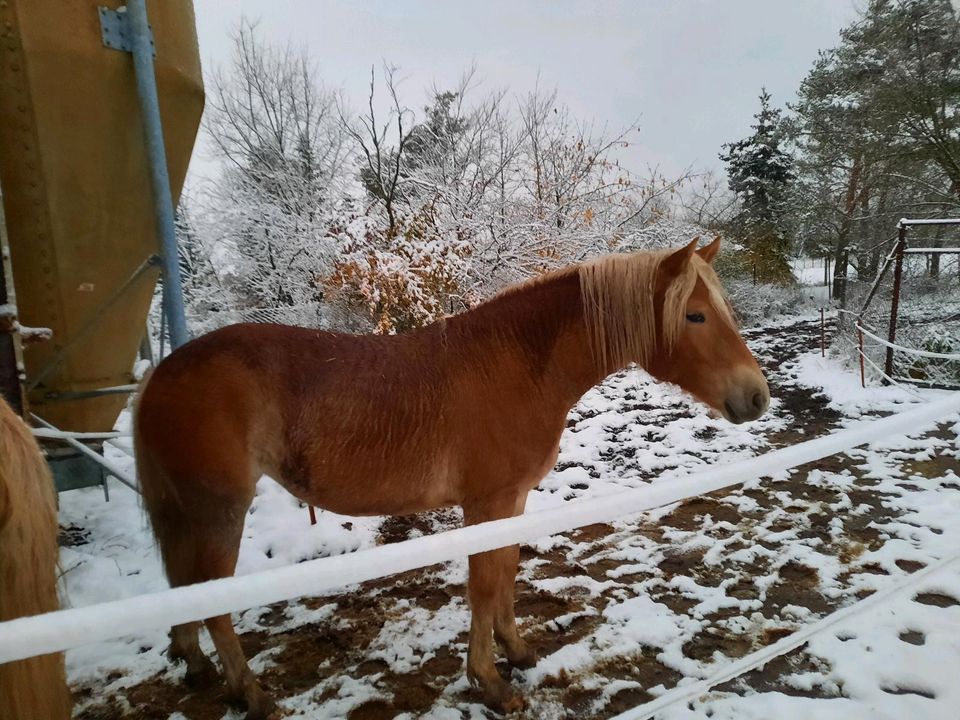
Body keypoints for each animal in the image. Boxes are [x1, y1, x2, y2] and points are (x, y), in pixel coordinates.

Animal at [135, 236, 768, 716]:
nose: (756, 397)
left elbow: (506, 573)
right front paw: (490, 682)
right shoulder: (486, 504)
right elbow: (484, 584)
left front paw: (517, 652)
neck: (517, 364)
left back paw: (195, 665)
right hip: (219, 512)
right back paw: (253, 695)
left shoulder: (510, 502)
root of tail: (163, 374)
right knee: (214, 604)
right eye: (694, 315)